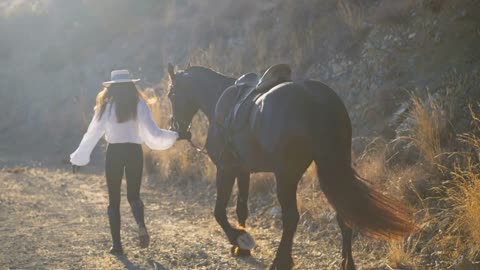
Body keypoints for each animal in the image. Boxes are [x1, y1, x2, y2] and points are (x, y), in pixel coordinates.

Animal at [166, 63, 412, 270]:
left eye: (171, 94)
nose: (177, 128)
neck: (219, 99)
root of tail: (317, 99)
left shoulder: (225, 169)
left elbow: (219, 212)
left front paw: (239, 239)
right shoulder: (242, 170)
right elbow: (241, 208)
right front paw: (242, 248)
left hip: (286, 176)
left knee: (291, 217)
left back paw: (281, 261)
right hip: (331, 169)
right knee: (343, 213)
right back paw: (347, 263)